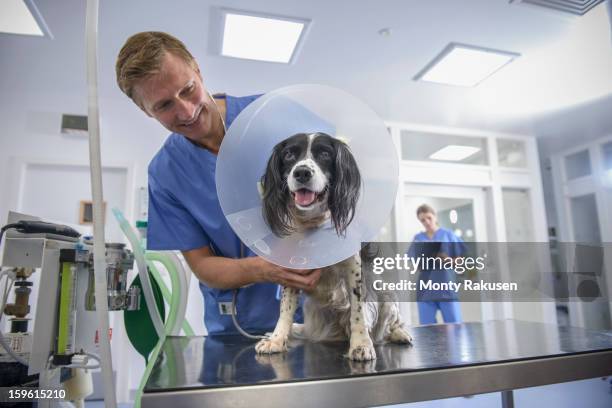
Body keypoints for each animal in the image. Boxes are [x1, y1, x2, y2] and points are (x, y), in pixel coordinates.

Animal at [253, 131, 412, 360]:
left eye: (325, 154)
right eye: (289, 154)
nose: (302, 172)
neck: (314, 225)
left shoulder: (354, 269)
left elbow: (358, 311)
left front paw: (361, 344)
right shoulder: (291, 271)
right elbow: (285, 308)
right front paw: (276, 339)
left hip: (387, 296)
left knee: (390, 324)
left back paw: (399, 333)